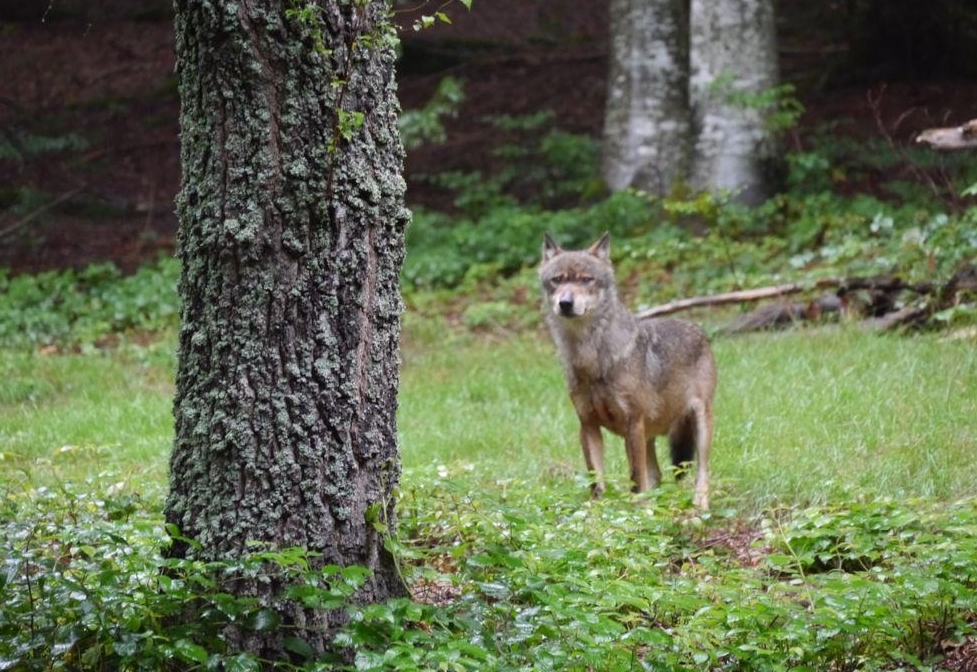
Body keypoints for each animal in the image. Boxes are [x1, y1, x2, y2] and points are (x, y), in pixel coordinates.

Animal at [540, 232, 717, 509]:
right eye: (557, 280)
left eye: (586, 280)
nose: (565, 303)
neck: (591, 358)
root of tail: (697, 328)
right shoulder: (588, 425)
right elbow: (597, 481)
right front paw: (599, 514)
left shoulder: (633, 423)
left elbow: (635, 479)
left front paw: (636, 513)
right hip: (647, 436)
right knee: (656, 475)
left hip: (699, 424)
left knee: (702, 471)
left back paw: (699, 505)